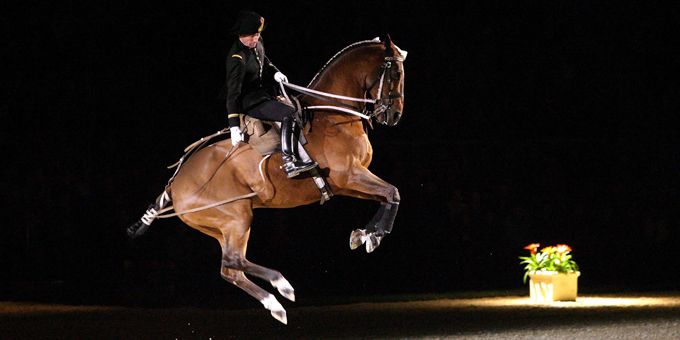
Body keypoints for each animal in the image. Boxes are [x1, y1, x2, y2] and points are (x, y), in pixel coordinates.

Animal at [127, 35, 406, 324]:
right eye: (396, 73)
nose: (394, 116)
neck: (332, 116)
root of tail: (176, 183)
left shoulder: (345, 184)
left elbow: (387, 196)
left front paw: (365, 235)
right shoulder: (351, 175)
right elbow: (393, 192)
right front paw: (374, 236)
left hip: (220, 226)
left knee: (230, 269)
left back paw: (275, 305)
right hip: (236, 217)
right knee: (233, 261)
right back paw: (281, 285)